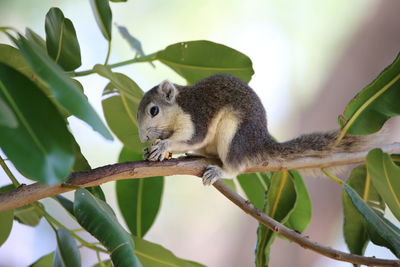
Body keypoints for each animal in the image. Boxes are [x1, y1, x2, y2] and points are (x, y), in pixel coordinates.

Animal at [136, 74, 376, 186]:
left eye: (154, 110)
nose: (143, 138)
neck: (180, 105)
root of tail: (259, 143)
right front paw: (154, 149)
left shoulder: (196, 117)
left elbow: (191, 138)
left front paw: (163, 146)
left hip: (233, 135)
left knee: (235, 166)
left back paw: (221, 170)